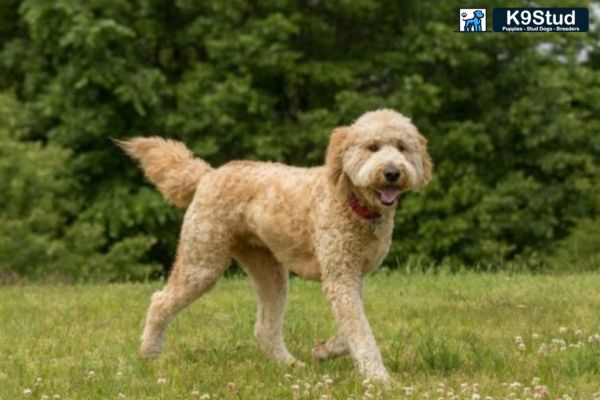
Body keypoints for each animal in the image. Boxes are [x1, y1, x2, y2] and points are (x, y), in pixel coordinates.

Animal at [119, 108, 432, 382]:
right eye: (372, 146)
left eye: (402, 147)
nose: (392, 172)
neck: (352, 202)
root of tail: (207, 175)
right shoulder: (340, 276)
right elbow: (359, 330)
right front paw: (378, 378)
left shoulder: (352, 275)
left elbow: (351, 327)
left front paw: (326, 350)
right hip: (202, 260)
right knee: (160, 301)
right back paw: (149, 354)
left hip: (269, 271)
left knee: (264, 329)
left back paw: (291, 365)